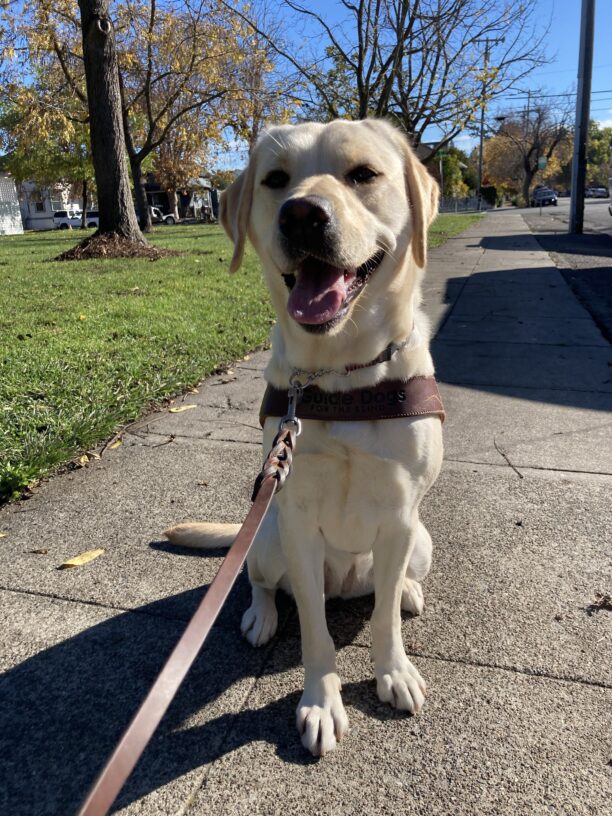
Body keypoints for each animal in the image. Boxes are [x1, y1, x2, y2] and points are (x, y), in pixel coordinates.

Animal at [165, 119, 442, 760]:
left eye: (363, 173)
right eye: (275, 179)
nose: (301, 216)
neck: (340, 374)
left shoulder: (399, 517)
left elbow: (384, 620)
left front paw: (393, 671)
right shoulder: (296, 521)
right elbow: (315, 630)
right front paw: (320, 701)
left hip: (421, 539)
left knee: (392, 589)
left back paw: (408, 592)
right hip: (268, 538)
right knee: (259, 582)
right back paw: (260, 616)